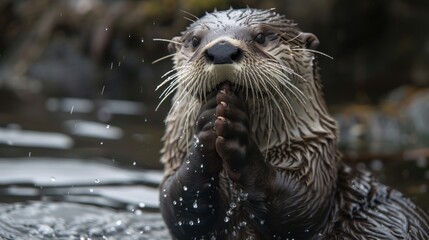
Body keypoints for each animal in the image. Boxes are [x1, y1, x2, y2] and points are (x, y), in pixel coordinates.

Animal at [157, 7, 428, 240]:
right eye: (195, 41)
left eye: (262, 36)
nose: (222, 49)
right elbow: (177, 203)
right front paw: (208, 125)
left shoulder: (313, 160)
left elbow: (296, 206)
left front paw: (236, 135)